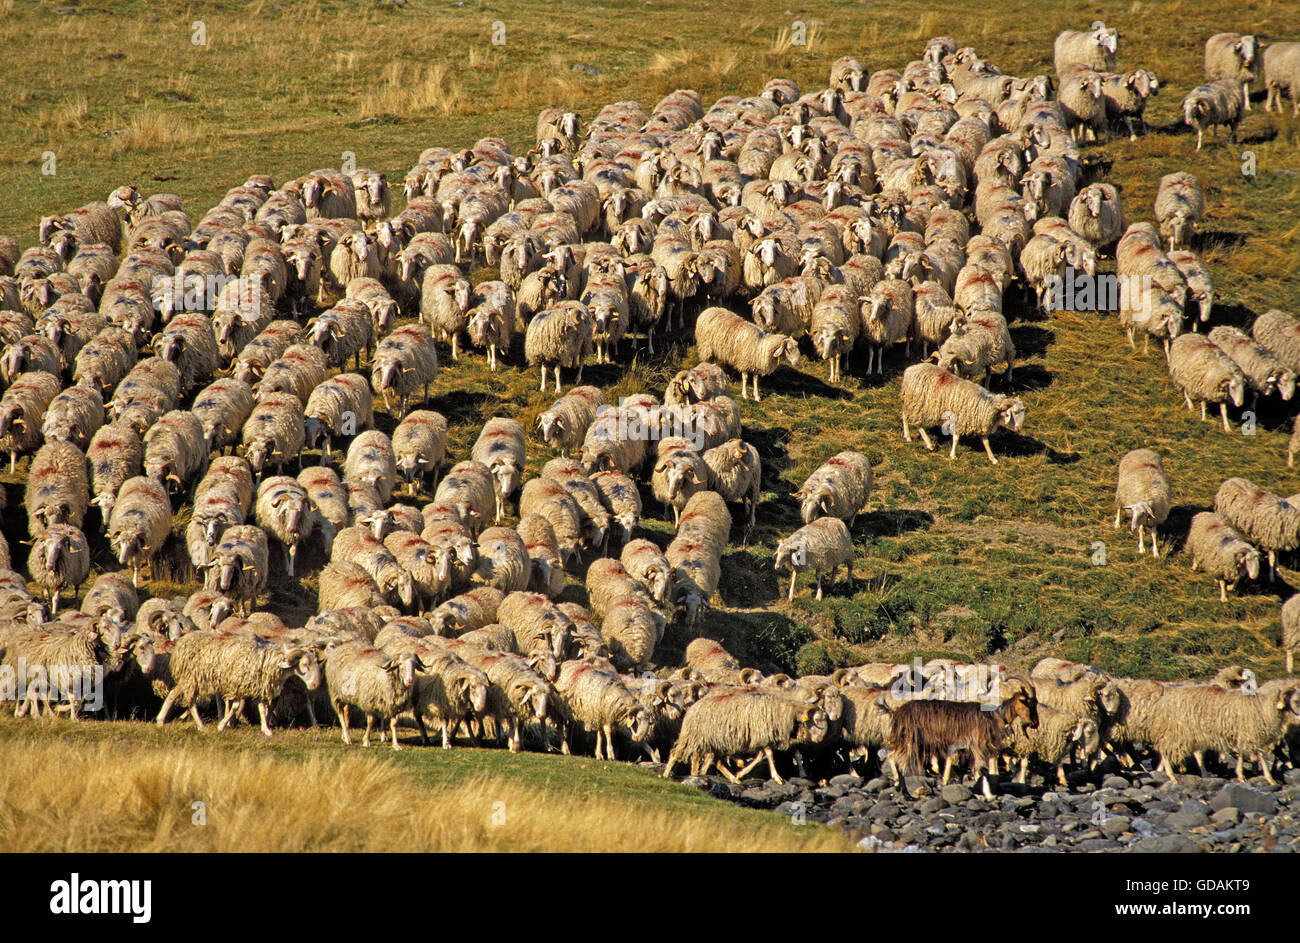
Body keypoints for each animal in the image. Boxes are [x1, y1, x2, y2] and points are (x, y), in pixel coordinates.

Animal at [156, 632, 321, 733]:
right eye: (305, 665)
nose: (315, 685)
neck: (268, 659)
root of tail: (181, 643)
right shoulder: (238, 684)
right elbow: (235, 707)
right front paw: (222, 725)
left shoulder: (255, 686)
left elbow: (261, 708)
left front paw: (266, 729)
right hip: (192, 677)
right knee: (185, 699)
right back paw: (194, 724)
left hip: (190, 679)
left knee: (178, 696)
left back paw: (166, 721)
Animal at [665, 681, 826, 785]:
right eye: (817, 719)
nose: (820, 739)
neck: (785, 710)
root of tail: (692, 707)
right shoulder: (762, 733)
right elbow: (769, 754)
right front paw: (777, 778)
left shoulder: (761, 738)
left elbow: (760, 756)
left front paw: (741, 773)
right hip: (694, 736)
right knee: (676, 753)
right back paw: (666, 774)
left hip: (710, 740)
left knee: (710, 759)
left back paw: (714, 776)